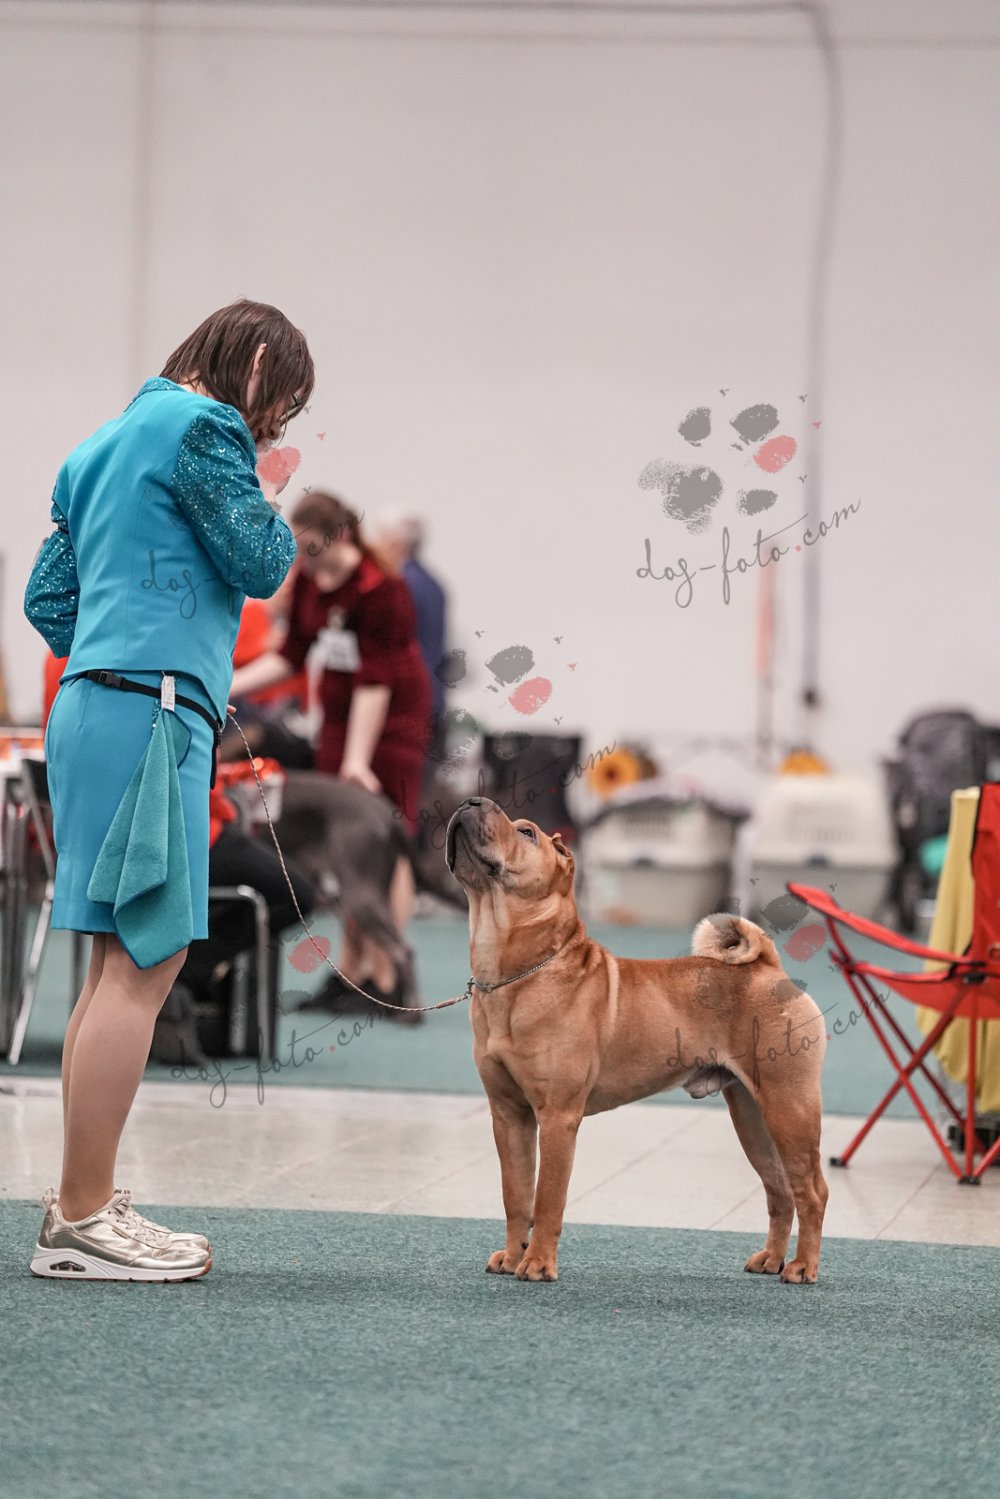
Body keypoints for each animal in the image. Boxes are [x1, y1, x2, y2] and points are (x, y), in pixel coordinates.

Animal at [445, 796, 829, 1284]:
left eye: (527, 832)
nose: (471, 800)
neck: (517, 975)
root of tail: (768, 967)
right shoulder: (509, 1116)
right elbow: (516, 1196)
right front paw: (513, 1257)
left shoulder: (557, 1117)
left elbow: (548, 1198)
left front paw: (537, 1264)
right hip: (751, 1115)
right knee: (780, 1190)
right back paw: (771, 1259)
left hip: (789, 1107)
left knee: (812, 1191)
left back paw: (802, 1267)